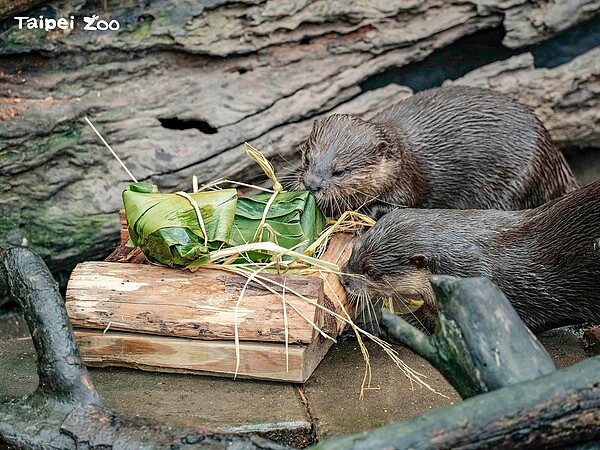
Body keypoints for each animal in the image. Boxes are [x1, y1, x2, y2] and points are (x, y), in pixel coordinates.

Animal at [298, 85, 580, 219]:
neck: (403, 160)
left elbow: (399, 205)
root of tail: (553, 156)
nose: (312, 184)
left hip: (519, 180)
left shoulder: (408, 184)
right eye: (307, 158)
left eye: (340, 171)